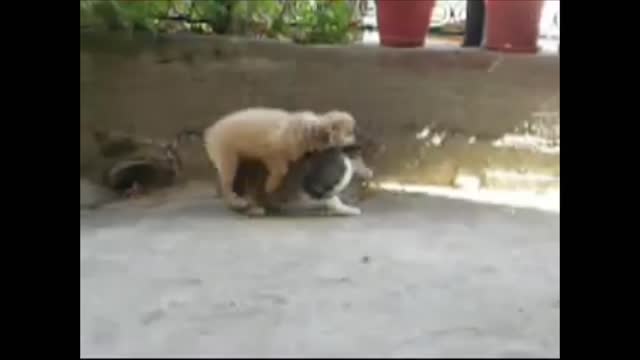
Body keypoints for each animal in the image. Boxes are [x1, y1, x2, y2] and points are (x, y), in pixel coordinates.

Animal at [204, 107, 358, 210]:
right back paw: (236, 199)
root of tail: (210, 133)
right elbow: (280, 168)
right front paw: (270, 185)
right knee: (227, 178)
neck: (310, 130)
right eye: (349, 133)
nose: (357, 142)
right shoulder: (276, 149)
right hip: (227, 151)